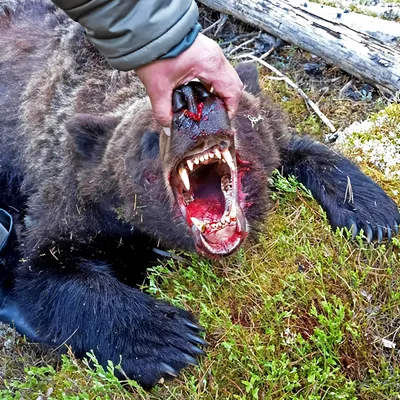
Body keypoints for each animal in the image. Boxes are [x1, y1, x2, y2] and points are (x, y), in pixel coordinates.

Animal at [0, 0, 398, 390]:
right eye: (150, 137)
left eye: (230, 107)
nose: (190, 98)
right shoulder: (71, 196)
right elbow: (47, 273)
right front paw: (165, 337)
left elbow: (299, 149)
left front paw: (373, 212)